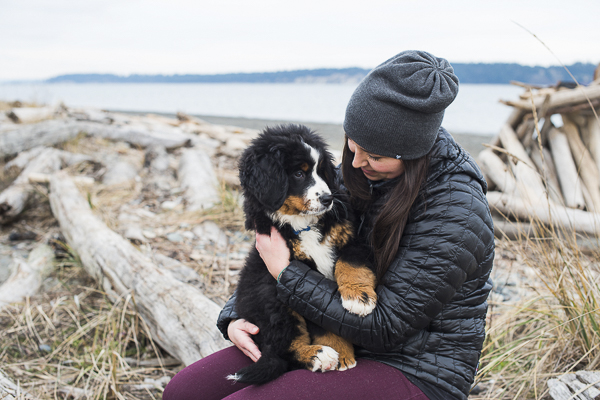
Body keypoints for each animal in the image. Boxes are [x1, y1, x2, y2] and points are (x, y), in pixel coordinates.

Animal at [229, 124, 376, 384]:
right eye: (299, 174)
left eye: (321, 171)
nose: (328, 198)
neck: (303, 224)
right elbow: (321, 324)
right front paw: (342, 353)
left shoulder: (351, 237)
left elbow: (351, 264)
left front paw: (359, 298)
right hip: (273, 300)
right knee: (284, 348)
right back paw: (317, 355)